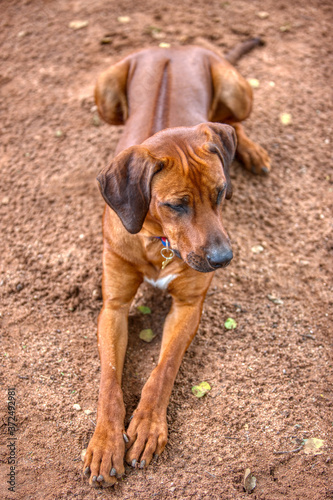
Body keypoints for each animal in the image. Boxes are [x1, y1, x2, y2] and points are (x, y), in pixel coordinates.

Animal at [83, 40, 270, 488]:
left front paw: (148, 426)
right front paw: (104, 442)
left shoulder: (189, 305)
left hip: (235, 89)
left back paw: (250, 149)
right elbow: (109, 378)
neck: (159, 241)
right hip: (105, 91)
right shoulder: (113, 307)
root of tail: (175, 45)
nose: (222, 259)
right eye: (176, 205)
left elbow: (164, 368)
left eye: (220, 192)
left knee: (232, 122)